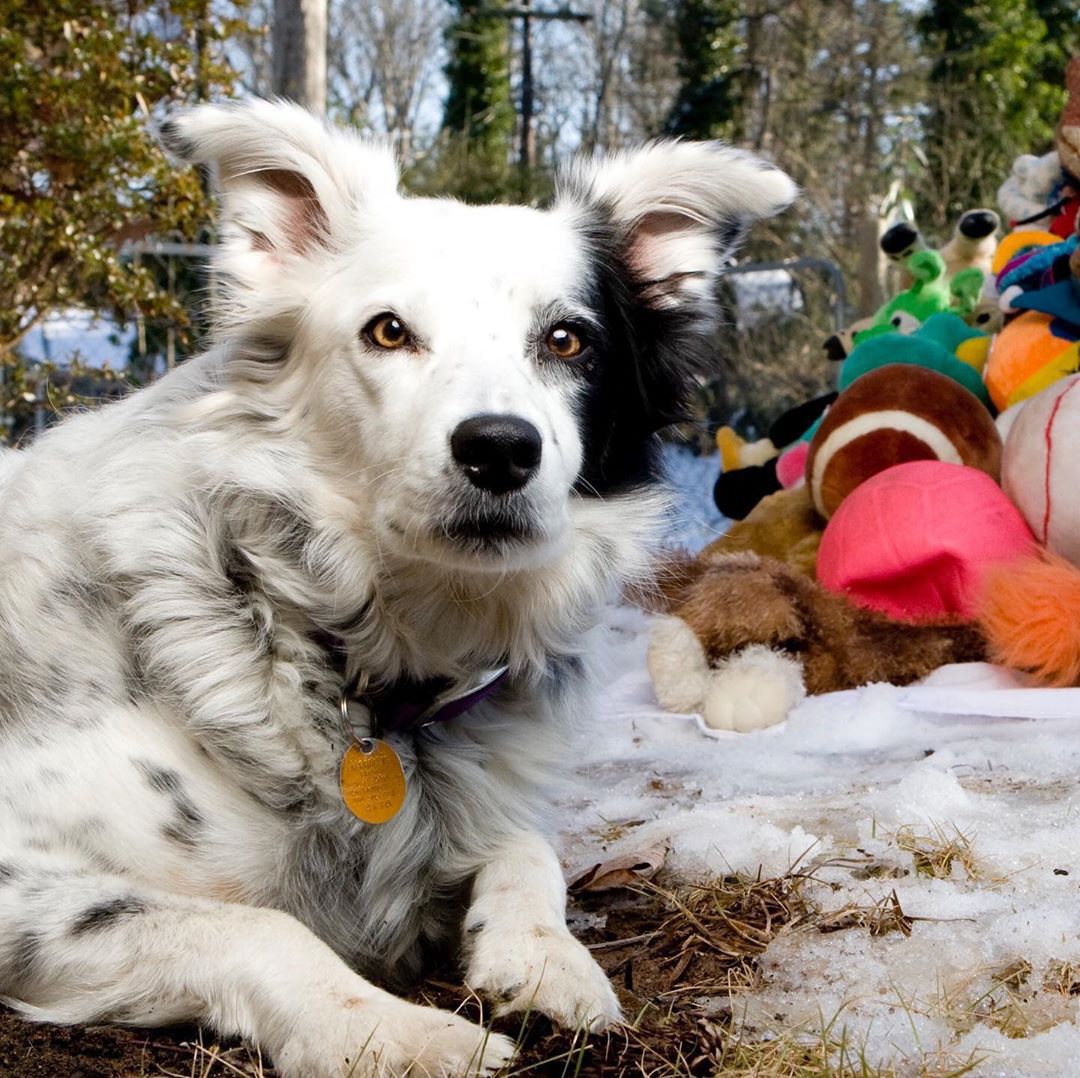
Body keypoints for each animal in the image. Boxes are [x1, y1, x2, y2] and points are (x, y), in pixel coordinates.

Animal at [0, 97, 794, 1075]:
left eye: (566, 339)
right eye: (388, 330)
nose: (499, 448)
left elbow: (527, 848)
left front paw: (545, 961)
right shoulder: (24, 871)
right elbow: (256, 926)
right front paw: (392, 1030)